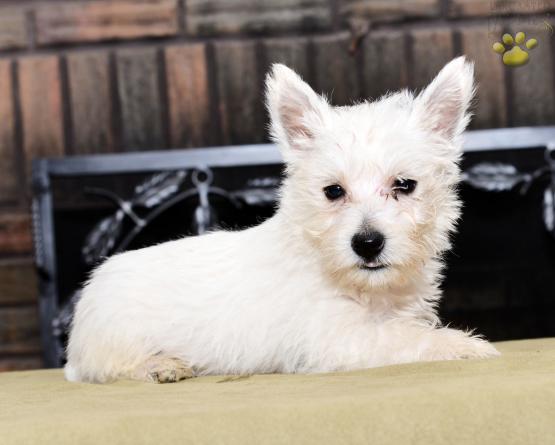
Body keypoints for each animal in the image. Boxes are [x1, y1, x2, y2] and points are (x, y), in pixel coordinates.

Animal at [64, 55, 500, 382]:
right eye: (333, 191)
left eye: (404, 185)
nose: (367, 243)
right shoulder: (338, 338)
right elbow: (405, 339)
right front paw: (465, 345)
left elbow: (409, 328)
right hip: (115, 339)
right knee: (110, 369)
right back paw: (161, 365)